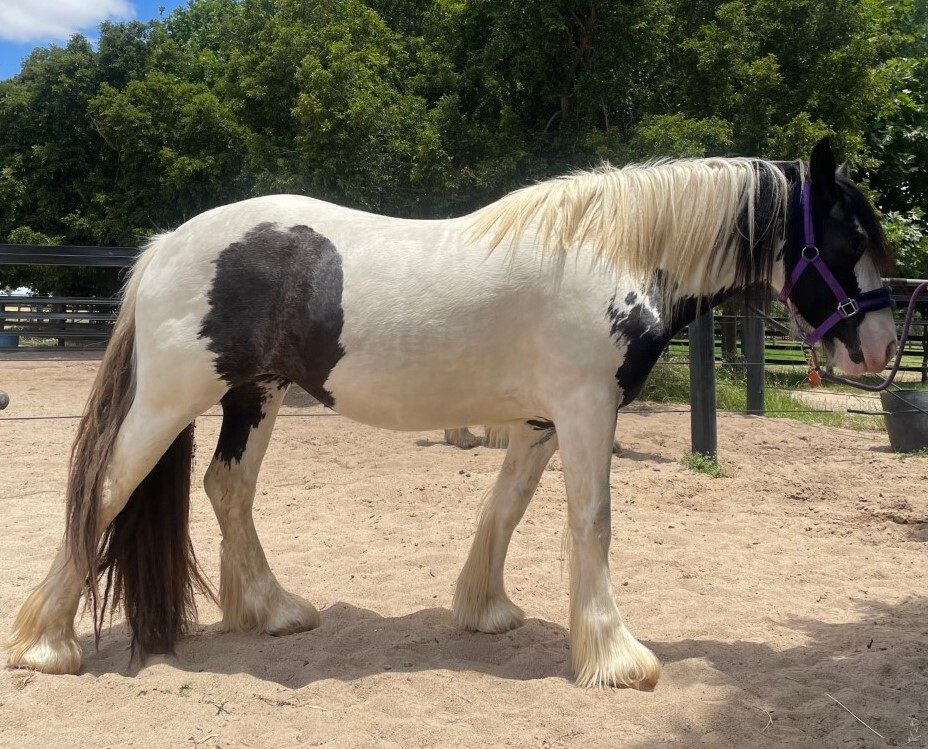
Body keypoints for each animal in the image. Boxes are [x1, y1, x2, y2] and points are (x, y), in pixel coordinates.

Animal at [7, 138, 897, 689]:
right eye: (849, 235)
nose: (884, 344)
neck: (612, 252)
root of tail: (166, 245)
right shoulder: (586, 408)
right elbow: (591, 523)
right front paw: (617, 657)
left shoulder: (543, 421)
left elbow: (506, 507)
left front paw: (486, 609)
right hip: (171, 399)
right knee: (105, 490)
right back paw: (47, 643)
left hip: (255, 396)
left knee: (228, 489)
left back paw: (276, 611)